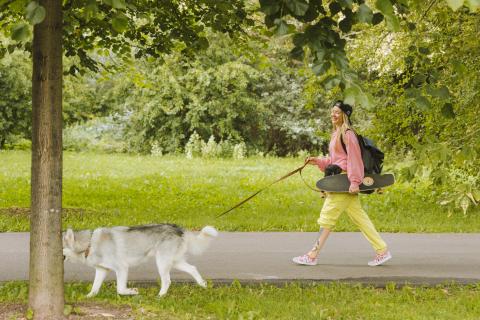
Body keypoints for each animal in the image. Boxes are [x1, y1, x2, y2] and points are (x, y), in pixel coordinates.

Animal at [62, 224, 218, 296]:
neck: (89, 244)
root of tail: (178, 228)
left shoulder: (122, 268)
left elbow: (120, 289)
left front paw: (132, 291)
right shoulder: (102, 270)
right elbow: (94, 288)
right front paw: (88, 297)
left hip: (162, 263)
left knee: (167, 281)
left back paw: (160, 296)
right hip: (174, 262)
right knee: (193, 268)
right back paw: (203, 285)